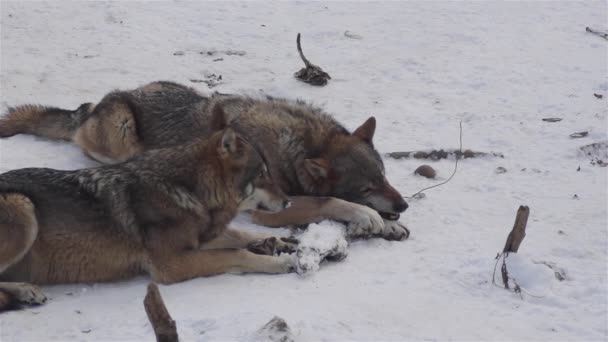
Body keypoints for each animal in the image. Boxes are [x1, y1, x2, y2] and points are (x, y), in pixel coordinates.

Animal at [0, 80, 410, 240]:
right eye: (367, 188)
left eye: (385, 176)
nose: (404, 204)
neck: (298, 145)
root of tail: (90, 108)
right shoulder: (266, 209)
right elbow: (329, 199)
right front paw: (368, 216)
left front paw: (391, 225)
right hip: (122, 131)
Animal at [0, 107, 296, 312]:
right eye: (262, 175)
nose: (288, 202)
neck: (189, 189)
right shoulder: (169, 264)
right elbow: (237, 252)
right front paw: (280, 262)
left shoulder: (199, 237)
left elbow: (240, 235)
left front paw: (278, 241)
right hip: (22, 207)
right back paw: (26, 291)